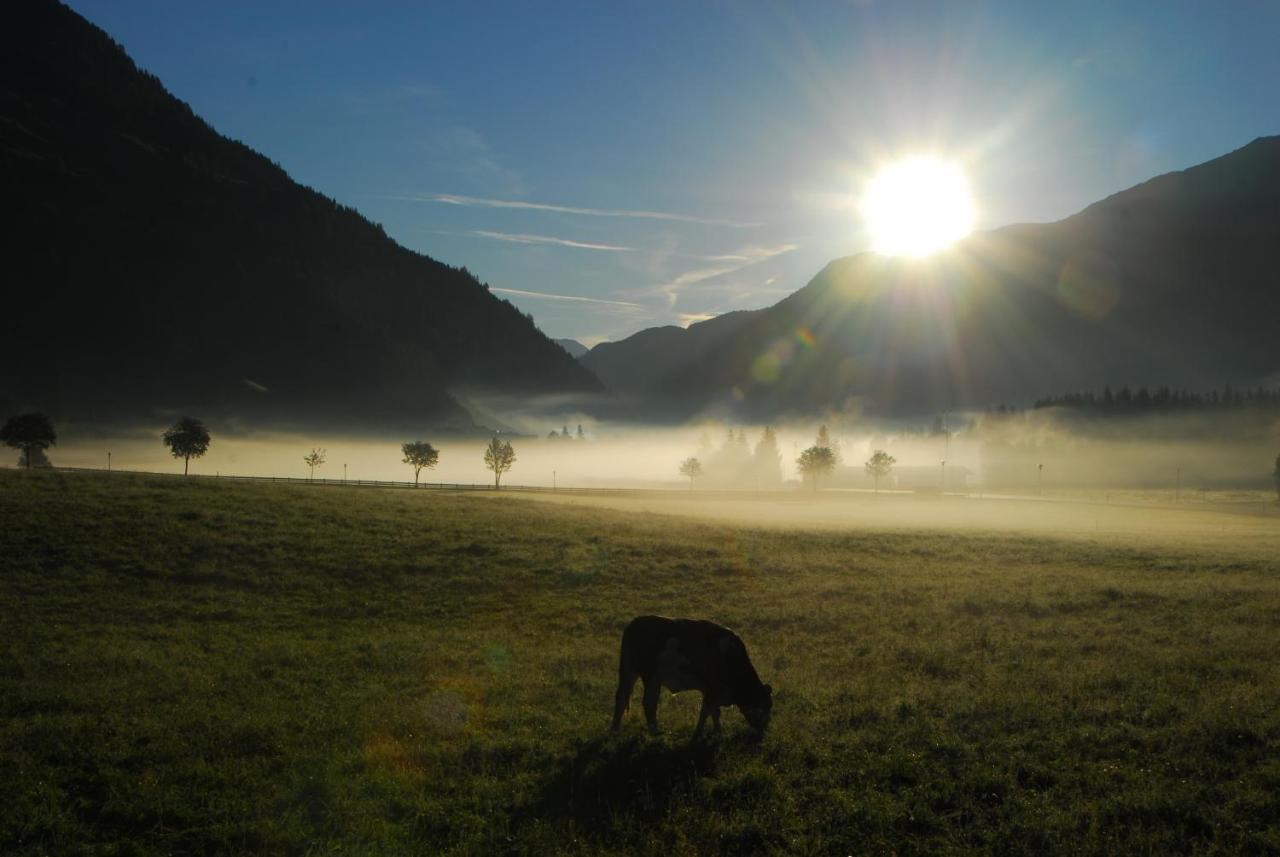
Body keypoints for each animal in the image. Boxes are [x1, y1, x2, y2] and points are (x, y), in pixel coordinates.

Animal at [609, 619, 768, 736]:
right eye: (766, 706)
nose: (764, 730)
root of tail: (633, 625)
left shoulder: (711, 692)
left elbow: (713, 712)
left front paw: (716, 731)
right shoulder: (711, 689)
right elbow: (708, 711)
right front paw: (702, 732)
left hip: (630, 671)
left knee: (622, 697)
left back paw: (615, 729)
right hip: (650, 677)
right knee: (648, 702)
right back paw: (654, 731)